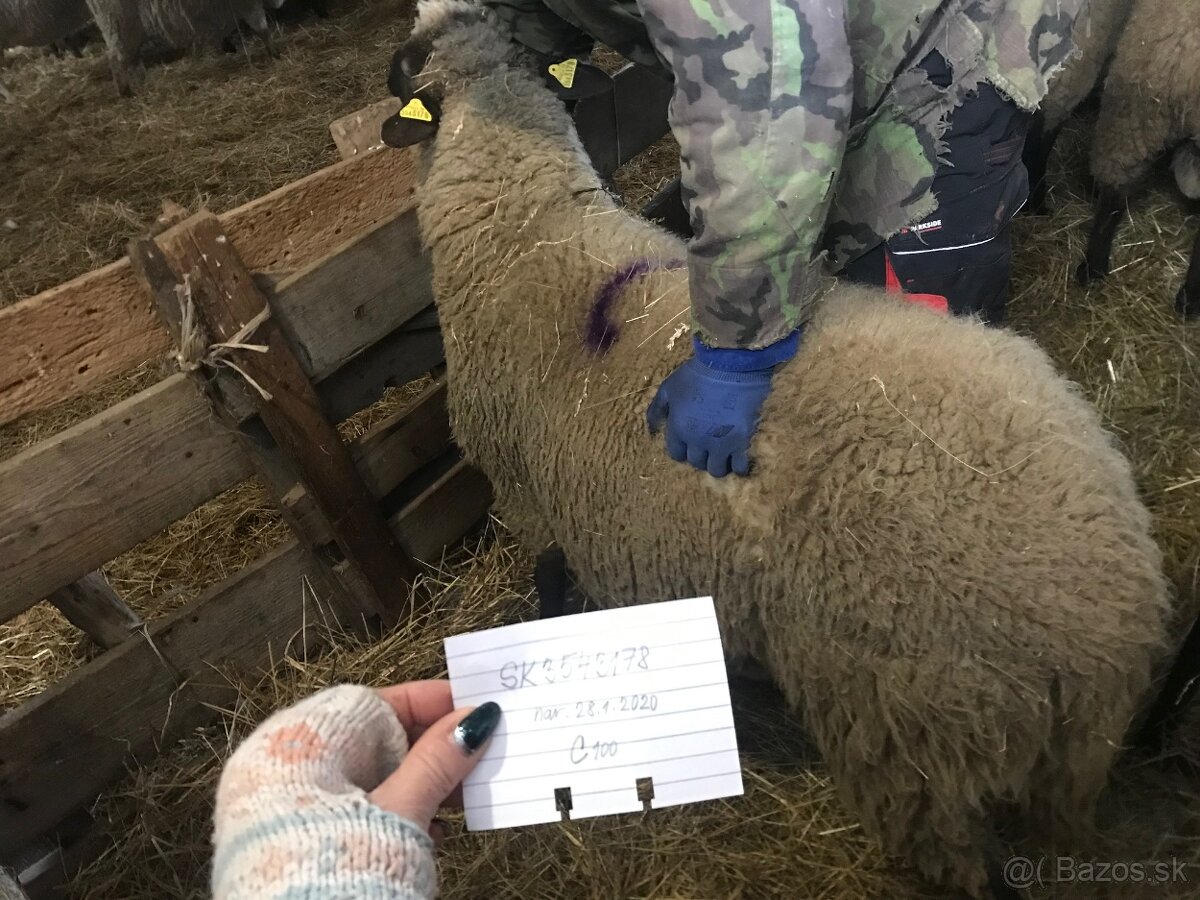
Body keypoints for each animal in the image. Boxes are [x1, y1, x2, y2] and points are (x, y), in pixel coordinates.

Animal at [381, 3, 1171, 897]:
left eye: (408, 58)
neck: (522, 221)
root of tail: (1115, 620)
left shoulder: (528, 495)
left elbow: (550, 580)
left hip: (912, 731)